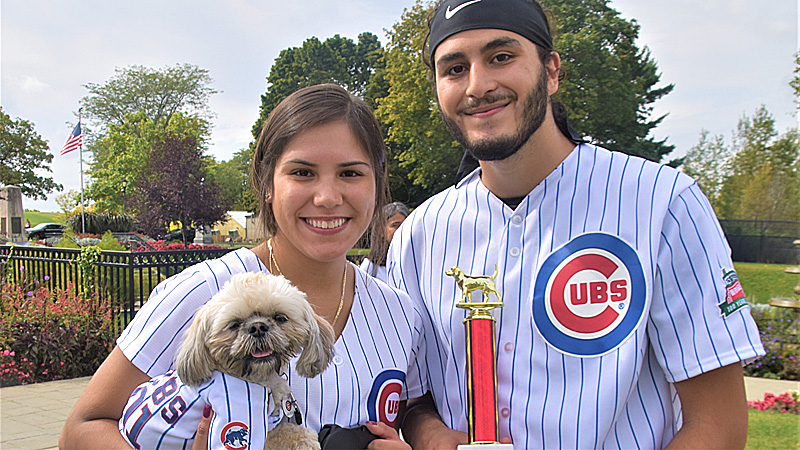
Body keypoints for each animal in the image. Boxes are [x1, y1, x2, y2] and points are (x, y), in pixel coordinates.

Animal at [119, 270, 334, 450]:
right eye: (234, 324)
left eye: (280, 317)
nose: (258, 327)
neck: (253, 376)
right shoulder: (238, 404)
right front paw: (305, 441)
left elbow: (283, 431)